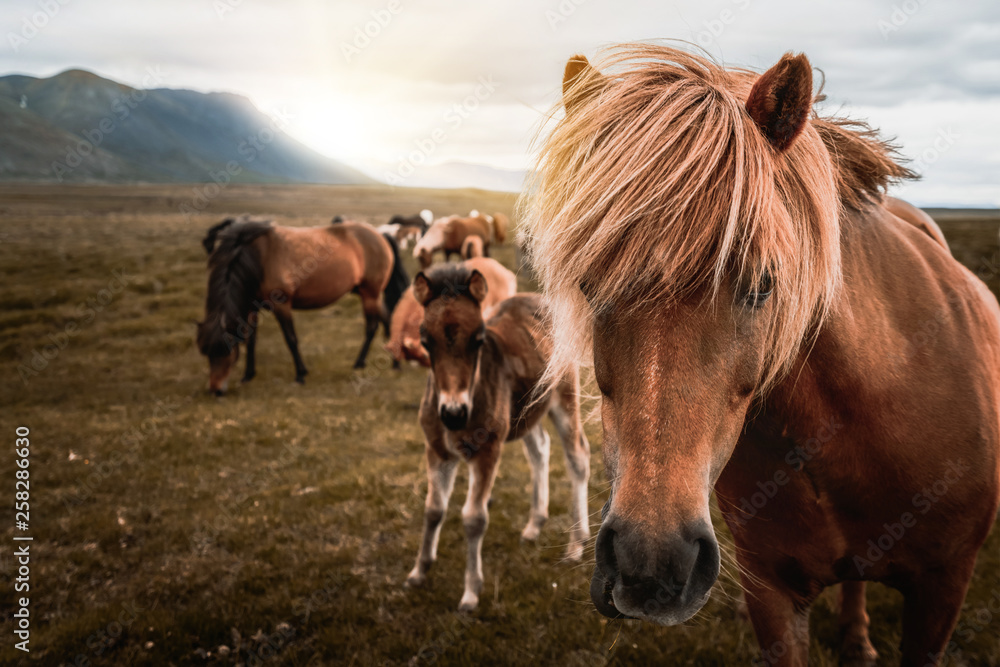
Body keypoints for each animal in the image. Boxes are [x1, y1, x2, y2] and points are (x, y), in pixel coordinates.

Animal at [197, 214, 408, 394]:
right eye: (206, 353)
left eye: (227, 351)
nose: (215, 390)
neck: (256, 257)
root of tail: (380, 235)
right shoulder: (252, 306)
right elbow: (251, 340)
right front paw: (248, 375)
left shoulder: (281, 304)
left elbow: (291, 339)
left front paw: (300, 374)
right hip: (365, 292)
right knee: (387, 319)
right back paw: (395, 363)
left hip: (370, 293)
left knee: (372, 326)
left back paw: (360, 363)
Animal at [406, 264, 588, 612]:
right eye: (425, 340)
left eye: (478, 339)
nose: (453, 412)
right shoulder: (436, 450)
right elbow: (433, 508)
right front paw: (419, 571)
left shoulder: (487, 450)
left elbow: (474, 517)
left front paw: (471, 593)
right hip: (525, 411)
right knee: (540, 449)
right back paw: (534, 525)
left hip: (564, 395)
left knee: (578, 458)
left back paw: (576, 545)